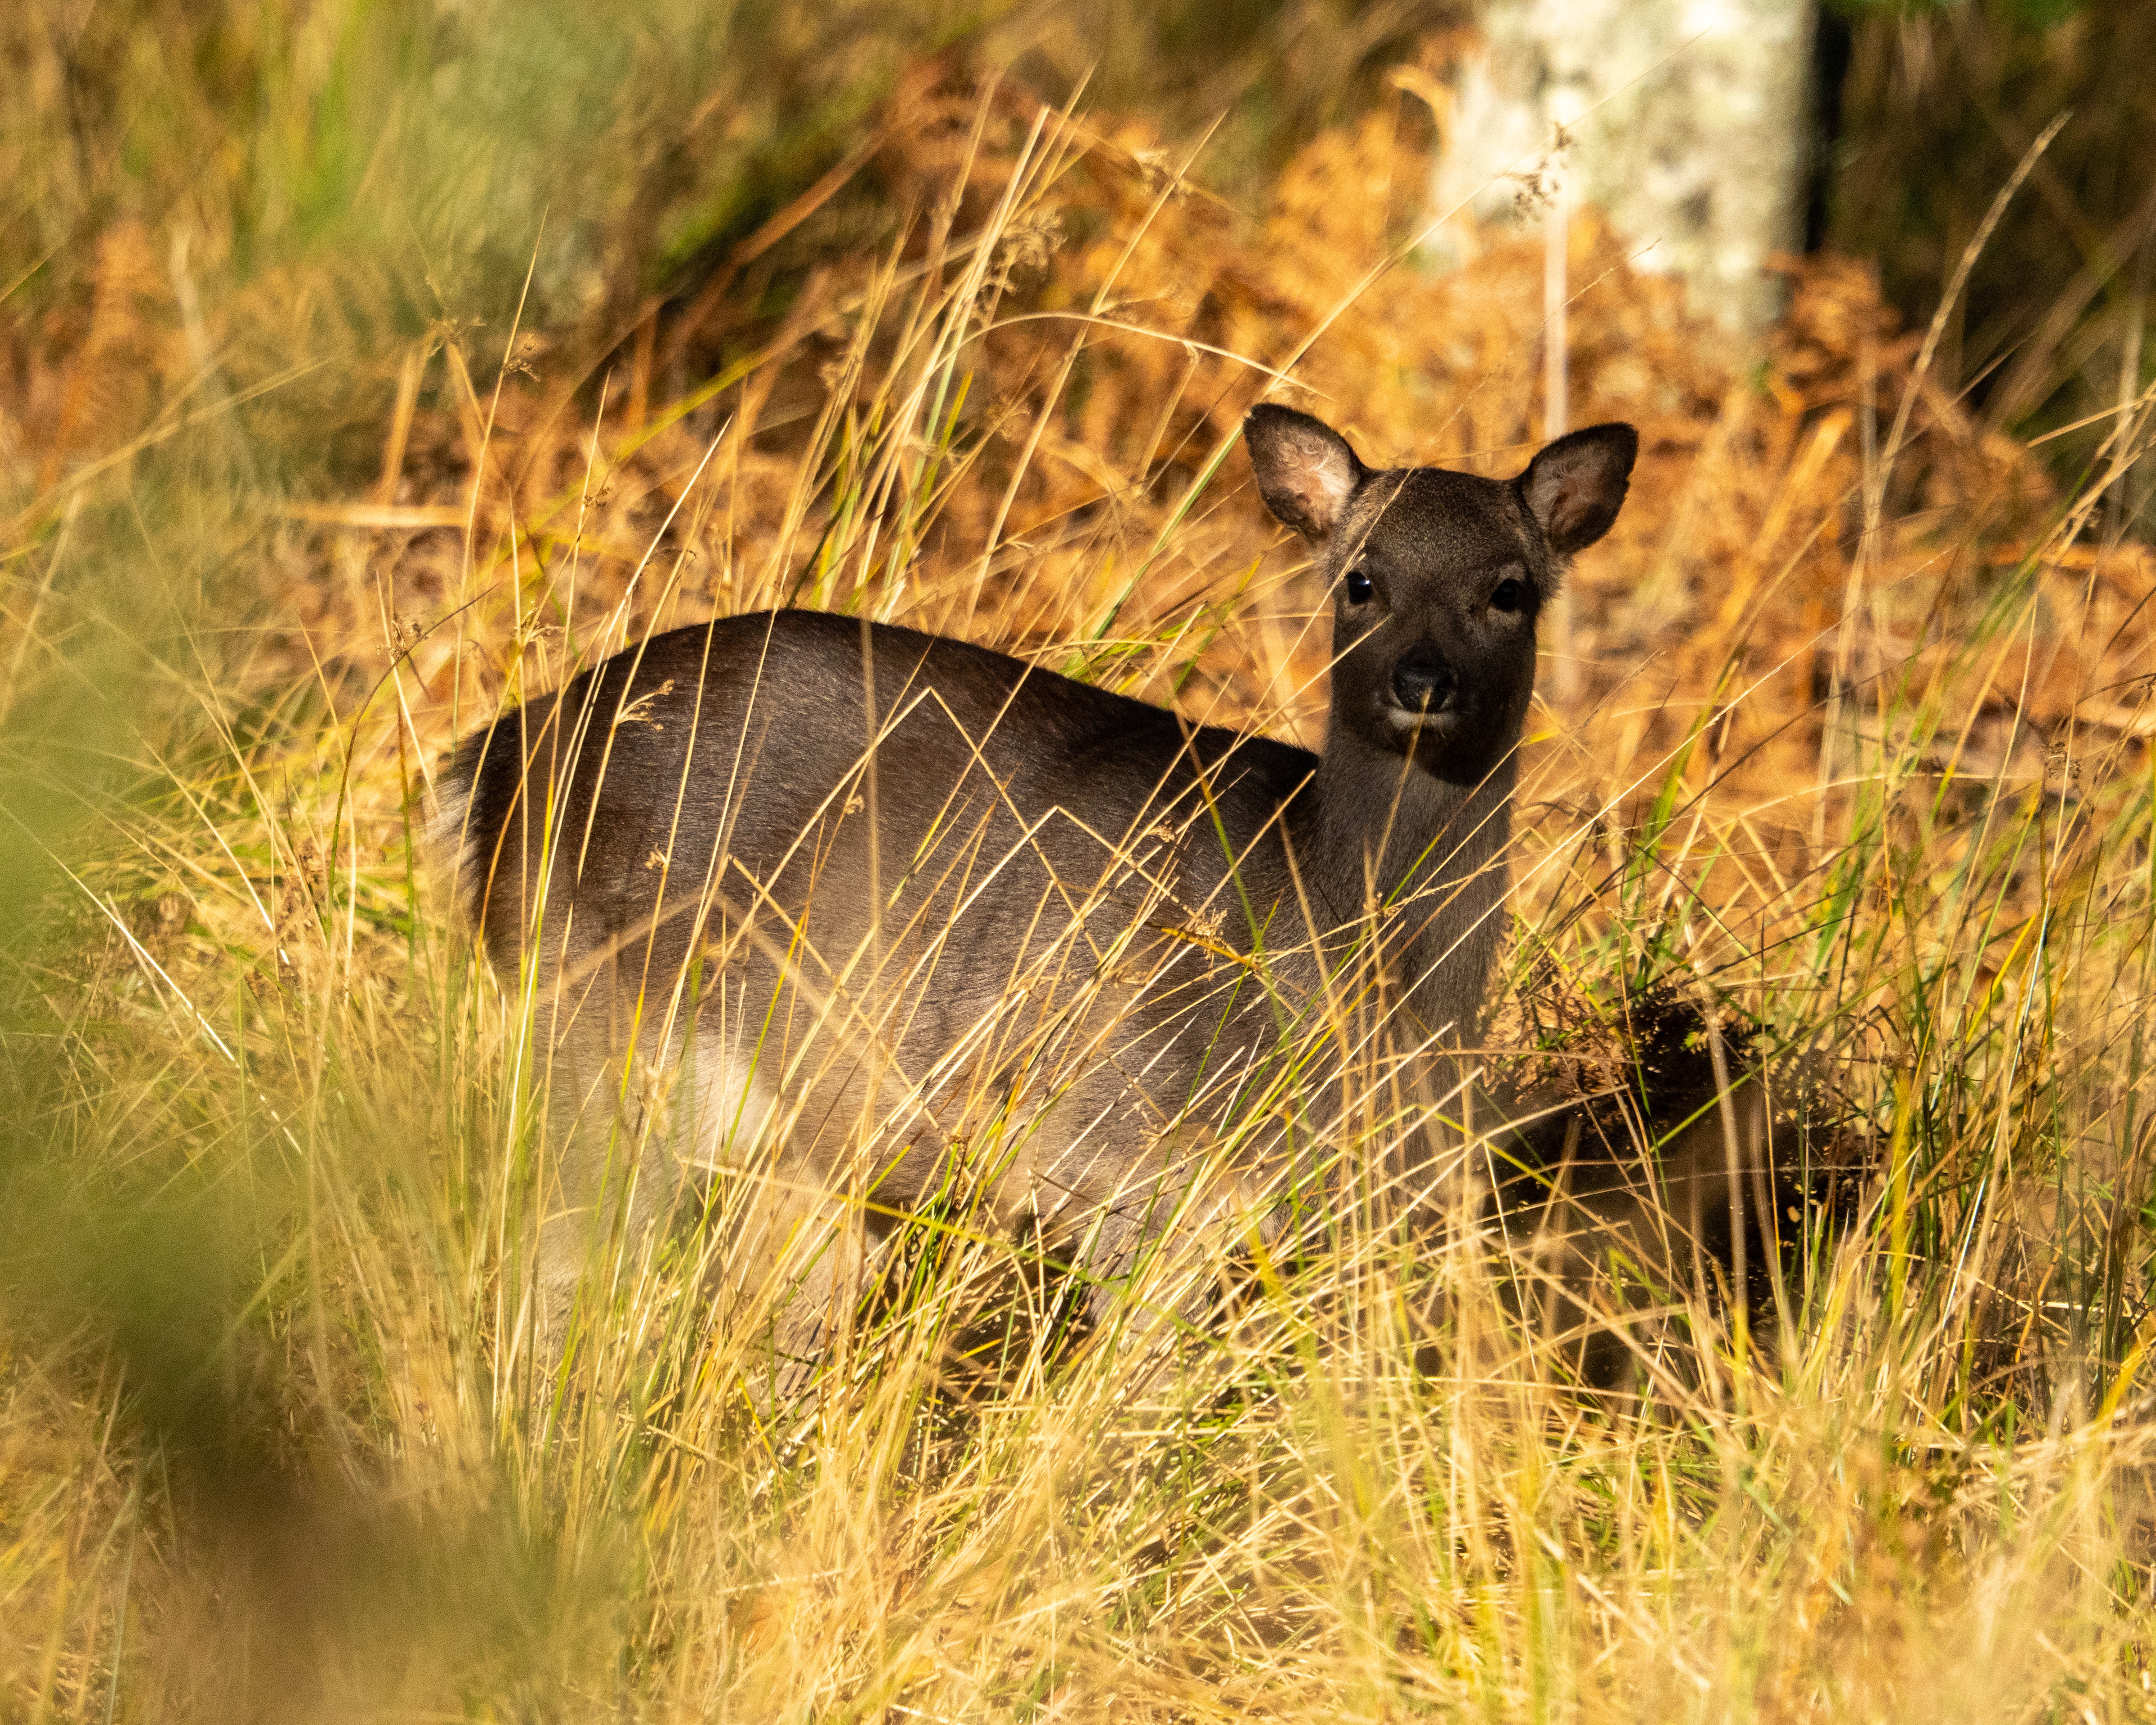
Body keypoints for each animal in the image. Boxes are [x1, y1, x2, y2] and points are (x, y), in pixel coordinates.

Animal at [438, 404, 1638, 1392]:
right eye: (1361, 579)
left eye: (1510, 588)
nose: (1422, 681)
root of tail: (491, 763)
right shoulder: (1117, 1169)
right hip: (595, 1043)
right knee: (545, 1282)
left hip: (810, 1149)